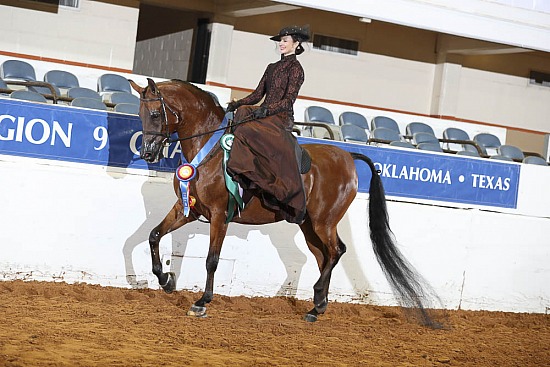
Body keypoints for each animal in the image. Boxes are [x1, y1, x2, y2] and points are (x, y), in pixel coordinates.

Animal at [129, 78, 440, 328]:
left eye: (155, 114)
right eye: (140, 115)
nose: (148, 152)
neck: (211, 149)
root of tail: (348, 156)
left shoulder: (219, 215)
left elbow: (211, 260)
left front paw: (202, 302)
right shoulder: (191, 210)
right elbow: (154, 235)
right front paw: (166, 280)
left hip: (324, 222)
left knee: (337, 251)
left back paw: (317, 302)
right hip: (309, 226)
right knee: (323, 256)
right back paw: (317, 306)